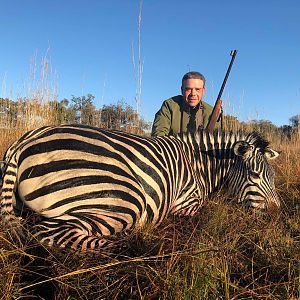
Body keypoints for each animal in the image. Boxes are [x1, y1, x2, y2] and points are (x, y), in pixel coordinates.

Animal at [0, 124, 282, 251]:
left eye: (272, 177)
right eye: (255, 175)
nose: (276, 214)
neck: (199, 165)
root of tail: (25, 141)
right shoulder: (187, 203)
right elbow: (202, 210)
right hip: (125, 200)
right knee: (48, 232)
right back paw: (129, 243)